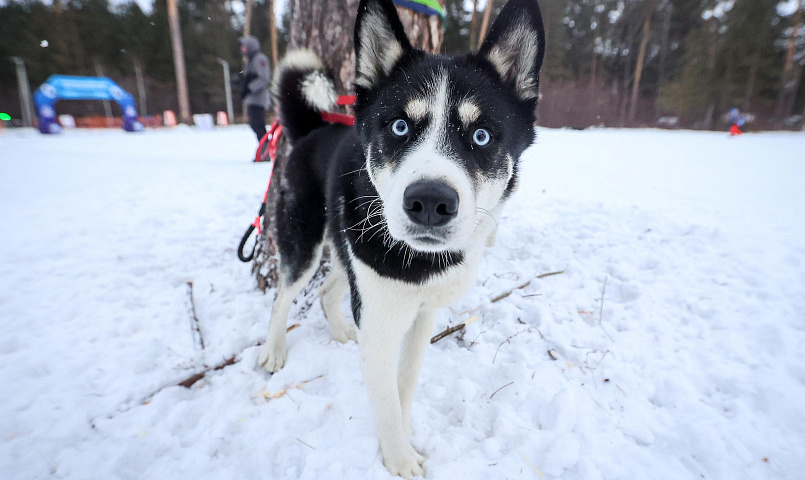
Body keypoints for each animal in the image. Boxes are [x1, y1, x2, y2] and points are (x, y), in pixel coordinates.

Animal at [260, 0, 544, 474]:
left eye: (481, 135)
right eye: (399, 127)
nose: (430, 201)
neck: (420, 264)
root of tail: (313, 127)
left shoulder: (421, 314)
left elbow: (405, 382)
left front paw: (406, 430)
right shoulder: (379, 320)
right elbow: (386, 400)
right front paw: (399, 459)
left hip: (347, 251)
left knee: (327, 291)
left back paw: (341, 331)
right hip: (306, 243)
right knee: (284, 296)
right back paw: (274, 350)